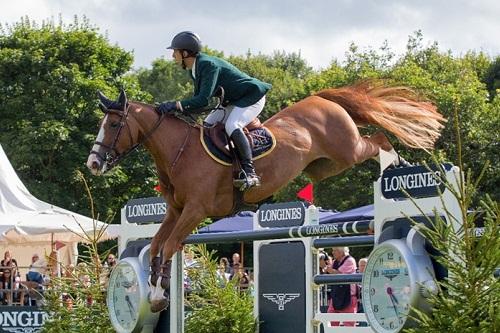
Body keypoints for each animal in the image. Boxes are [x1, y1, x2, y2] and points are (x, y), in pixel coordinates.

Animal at [85, 81, 446, 312]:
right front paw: (154, 293)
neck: (179, 152)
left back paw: (397, 167)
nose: (93, 164)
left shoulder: (196, 210)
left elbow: (171, 246)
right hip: (326, 166)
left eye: (114, 124)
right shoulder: (175, 211)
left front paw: (159, 295)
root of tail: (322, 99)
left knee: (379, 141)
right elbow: (158, 247)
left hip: (347, 149)